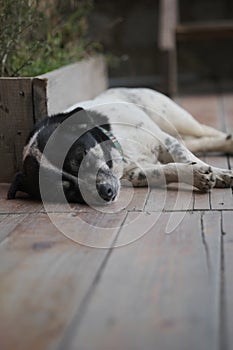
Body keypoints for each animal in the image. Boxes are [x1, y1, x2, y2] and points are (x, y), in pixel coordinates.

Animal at [7, 87, 233, 205]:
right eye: (66, 190)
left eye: (81, 157)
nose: (105, 191)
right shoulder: (136, 174)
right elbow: (168, 170)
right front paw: (198, 175)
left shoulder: (164, 141)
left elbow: (186, 158)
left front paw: (218, 173)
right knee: (199, 141)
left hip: (174, 118)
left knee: (205, 132)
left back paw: (227, 142)